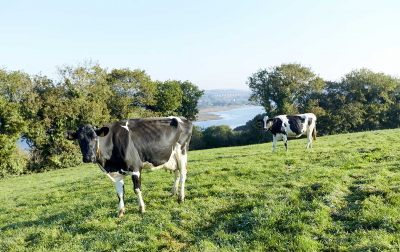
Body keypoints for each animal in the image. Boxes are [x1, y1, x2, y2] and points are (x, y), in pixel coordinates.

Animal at [63, 116, 192, 217]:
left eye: (95, 138)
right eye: (80, 139)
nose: (89, 157)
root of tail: (184, 119)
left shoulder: (135, 168)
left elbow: (137, 190)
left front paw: (142, 209)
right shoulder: (116, 173)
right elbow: (120, 193)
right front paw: (120, 212)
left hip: (182, 152)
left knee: (183, 174)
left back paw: (181, 197)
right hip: (172, 158)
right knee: (176, 174)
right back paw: (173, 193)